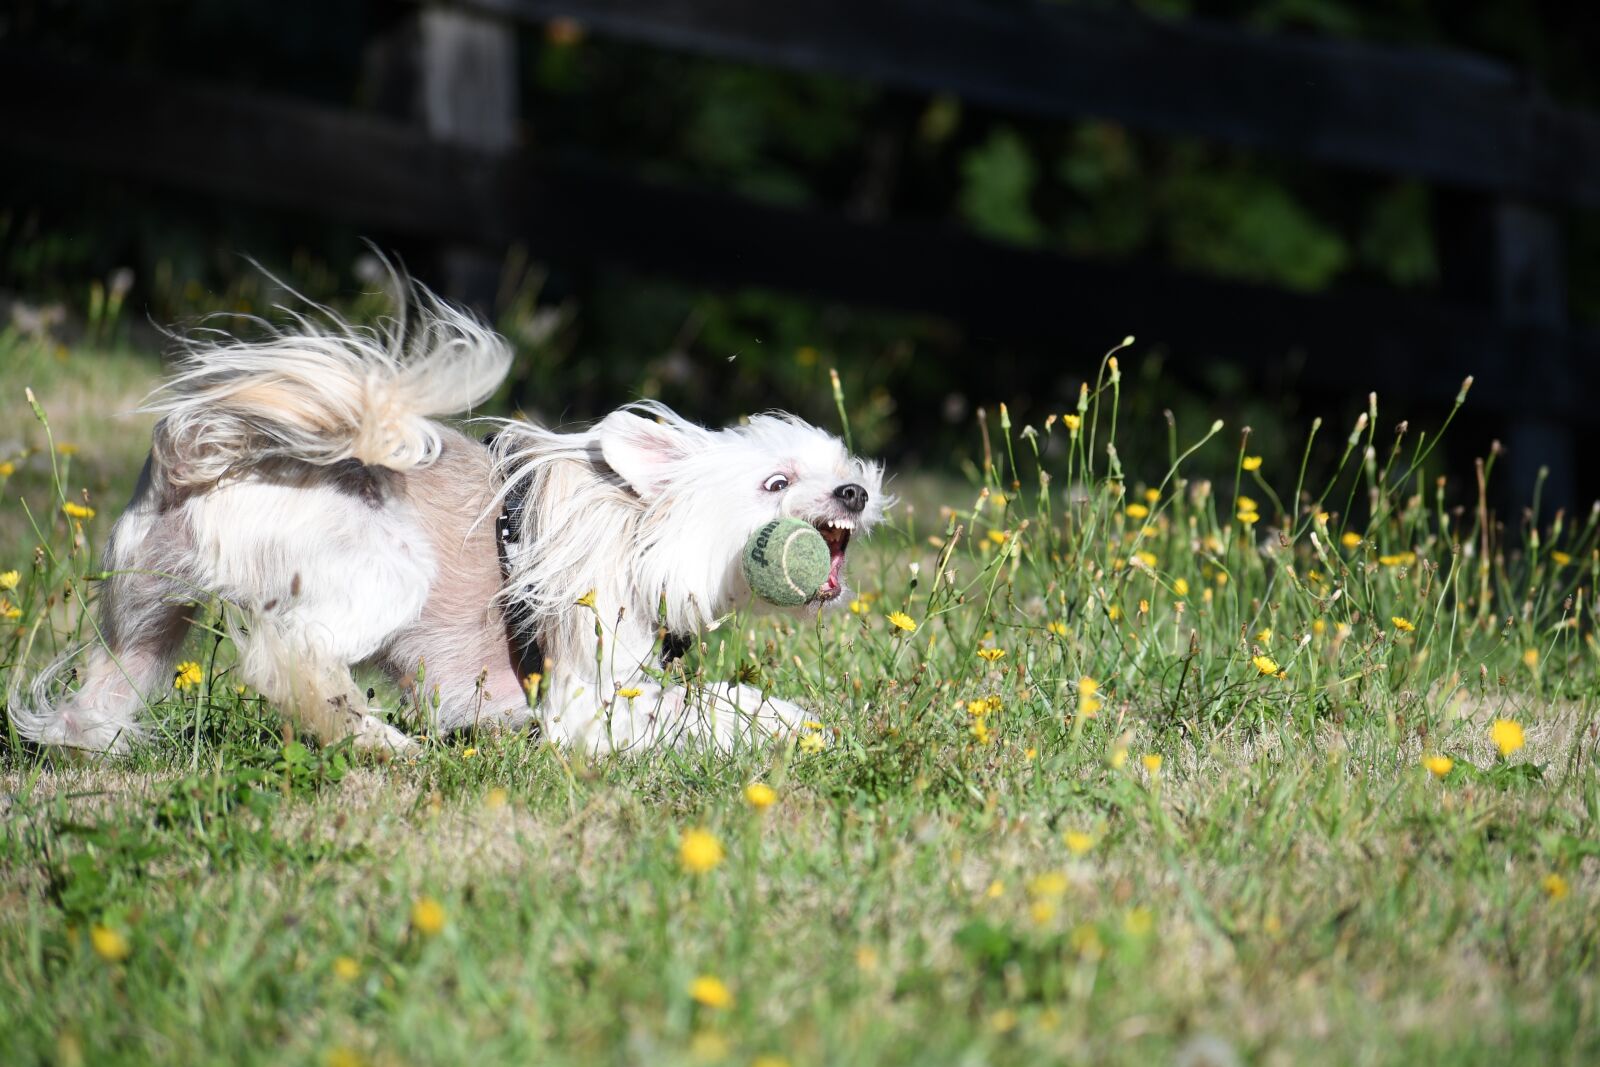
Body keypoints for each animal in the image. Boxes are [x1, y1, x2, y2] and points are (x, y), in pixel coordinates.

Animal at [9, 287, 889, 755]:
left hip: (146, 615)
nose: (854, 492)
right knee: (287, 659)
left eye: (840, 464)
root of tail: (203, 451)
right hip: (385, 566)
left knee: (101, 695)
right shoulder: (585, 697)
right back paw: (376, 741)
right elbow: (697, 708)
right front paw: (780, 728)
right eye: (777, 482)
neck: (640, 528)